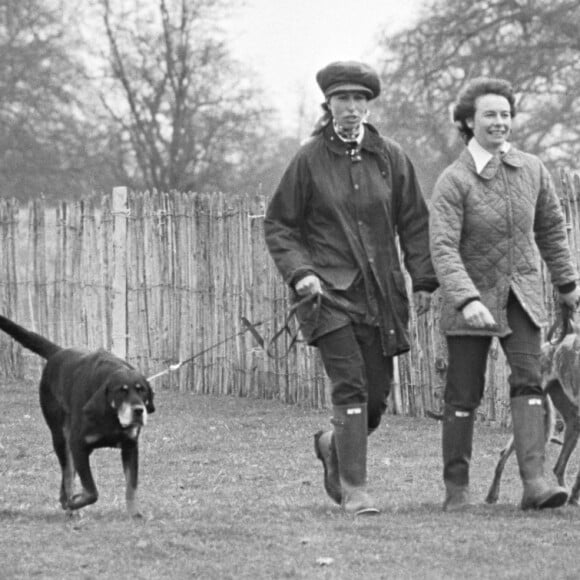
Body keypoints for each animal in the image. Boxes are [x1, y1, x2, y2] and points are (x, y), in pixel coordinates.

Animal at [0, 314, 154, 520]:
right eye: (121, 391)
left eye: (142, 390)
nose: (138, 410)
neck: (111, 416)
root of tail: (58, 352)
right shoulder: (78, 444)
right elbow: (91, 491)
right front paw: (74, 502)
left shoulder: (130, 446)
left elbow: (131, 485)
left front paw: (134, 513)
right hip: (60, 437)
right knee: (67, 474)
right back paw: (70, 505)